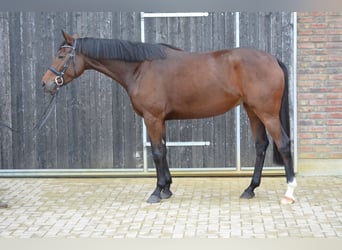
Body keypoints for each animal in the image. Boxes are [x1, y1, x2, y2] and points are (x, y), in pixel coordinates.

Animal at [41, 30, 296, 204]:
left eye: (61, 55)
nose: (45, 84)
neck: (140, 68)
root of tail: (272, 59)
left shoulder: (152, 118)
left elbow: (155, 152)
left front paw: (157, 191)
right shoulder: (160, 120)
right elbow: (163, 150)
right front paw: (167, 189)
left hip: (267, 113)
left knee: (283, 144)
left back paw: (289, 193)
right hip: (253, 111)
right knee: (261, 145)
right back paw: (250, 189)